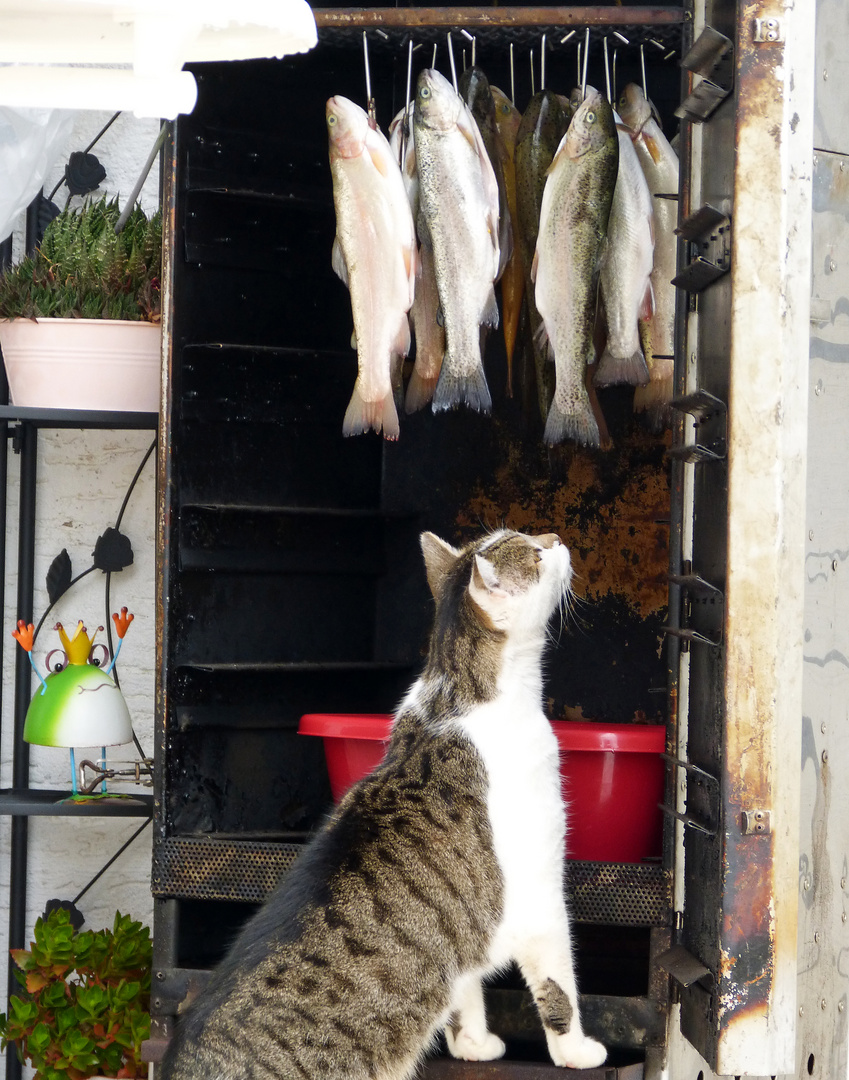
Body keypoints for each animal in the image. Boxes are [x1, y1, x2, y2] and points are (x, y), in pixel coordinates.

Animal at [158, 527, 604, 1075]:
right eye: (536, 554)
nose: (556, 536)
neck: (457, 694)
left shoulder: (458, 931)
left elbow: (463, 992)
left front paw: (474, 1045)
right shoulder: (541, 897)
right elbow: (559, 987)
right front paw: (576, 1052)